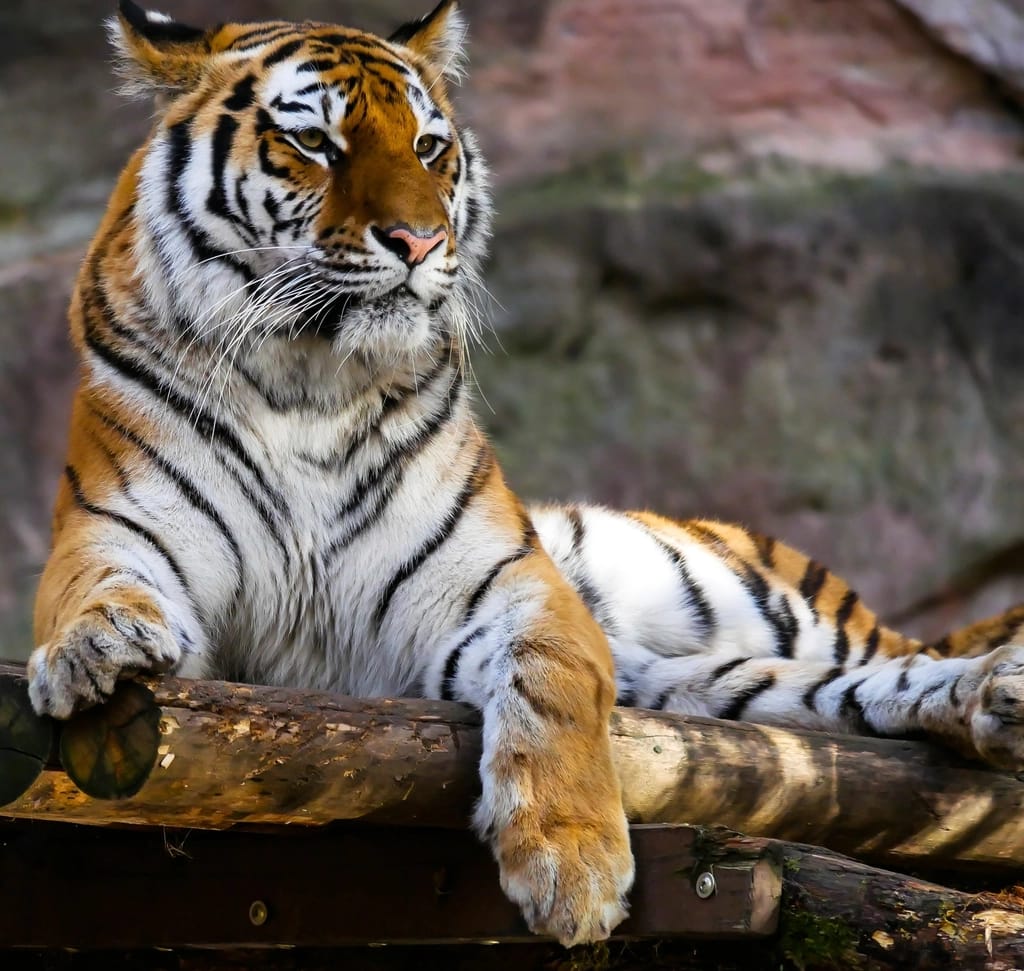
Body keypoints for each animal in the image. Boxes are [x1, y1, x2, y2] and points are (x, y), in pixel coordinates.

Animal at [27, 0, 1024, 947]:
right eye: (315, 143)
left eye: (429, 148)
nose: (418, 242)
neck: (309, 381)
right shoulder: (115, 528)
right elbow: (93, 588)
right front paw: (93, 648)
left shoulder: (513, 584)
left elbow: (551, 688)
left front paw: (572, 867)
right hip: (723, 683)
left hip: (756, 601)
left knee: (902, 656)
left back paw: (995, 684)